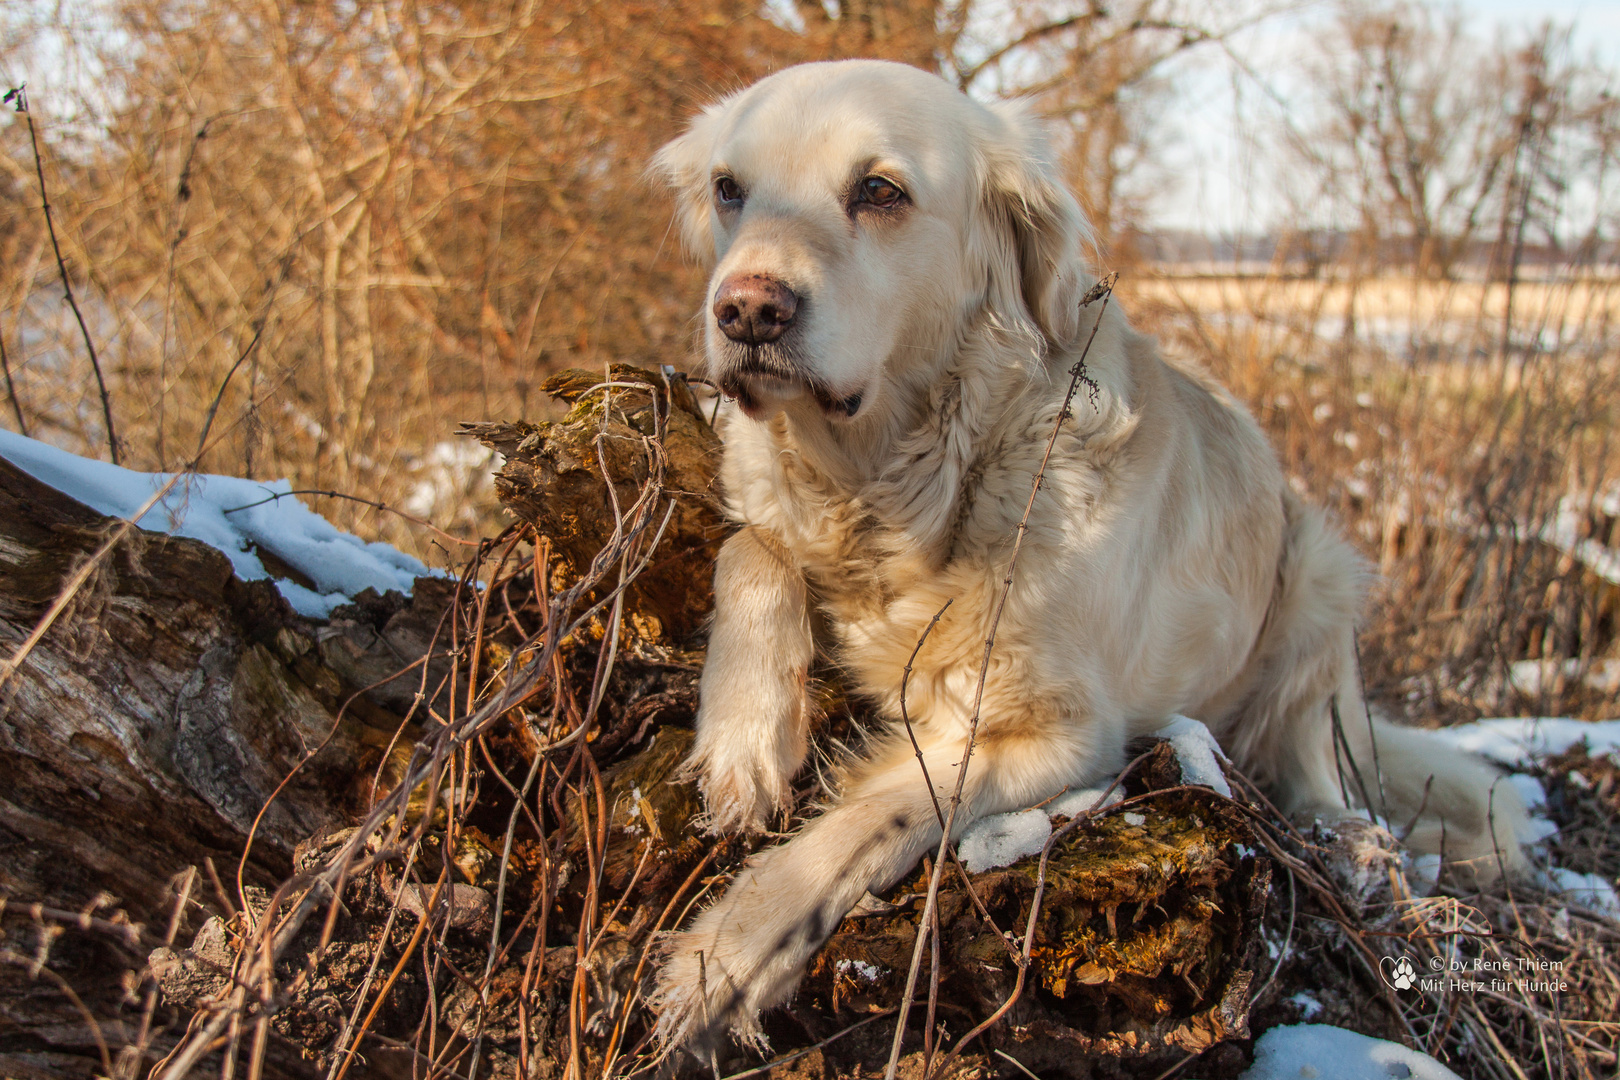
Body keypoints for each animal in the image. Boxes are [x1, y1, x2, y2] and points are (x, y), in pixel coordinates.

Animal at [648, 57, 1529, 1049]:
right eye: (730, 189)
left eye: (879, 191)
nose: (746, 310)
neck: (902, 482)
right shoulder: (772, 506)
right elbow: (753, 547)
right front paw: (744, 744)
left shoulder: (1067, 731)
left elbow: (885, 807)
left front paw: (731, 953)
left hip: (1321, 579)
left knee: (1322, 773)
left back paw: (1355, 844)